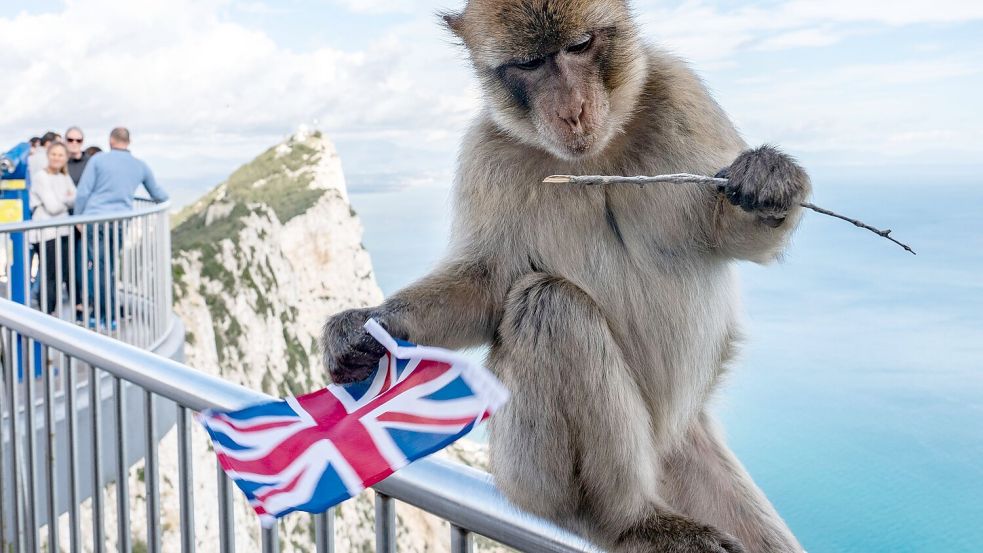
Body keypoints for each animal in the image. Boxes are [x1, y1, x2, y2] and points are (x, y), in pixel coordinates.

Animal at [321, 1, 810, 552]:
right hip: (523, 472)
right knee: (549, 305)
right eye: (530, 64)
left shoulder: (681, 92)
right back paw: (629, 519)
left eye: (579, 46)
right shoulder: (487, 152)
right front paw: (363, 327)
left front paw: (769, 181)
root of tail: (665, 444)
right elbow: (487, 285)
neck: (595, 155)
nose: (572, 110)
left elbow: (733, 237)